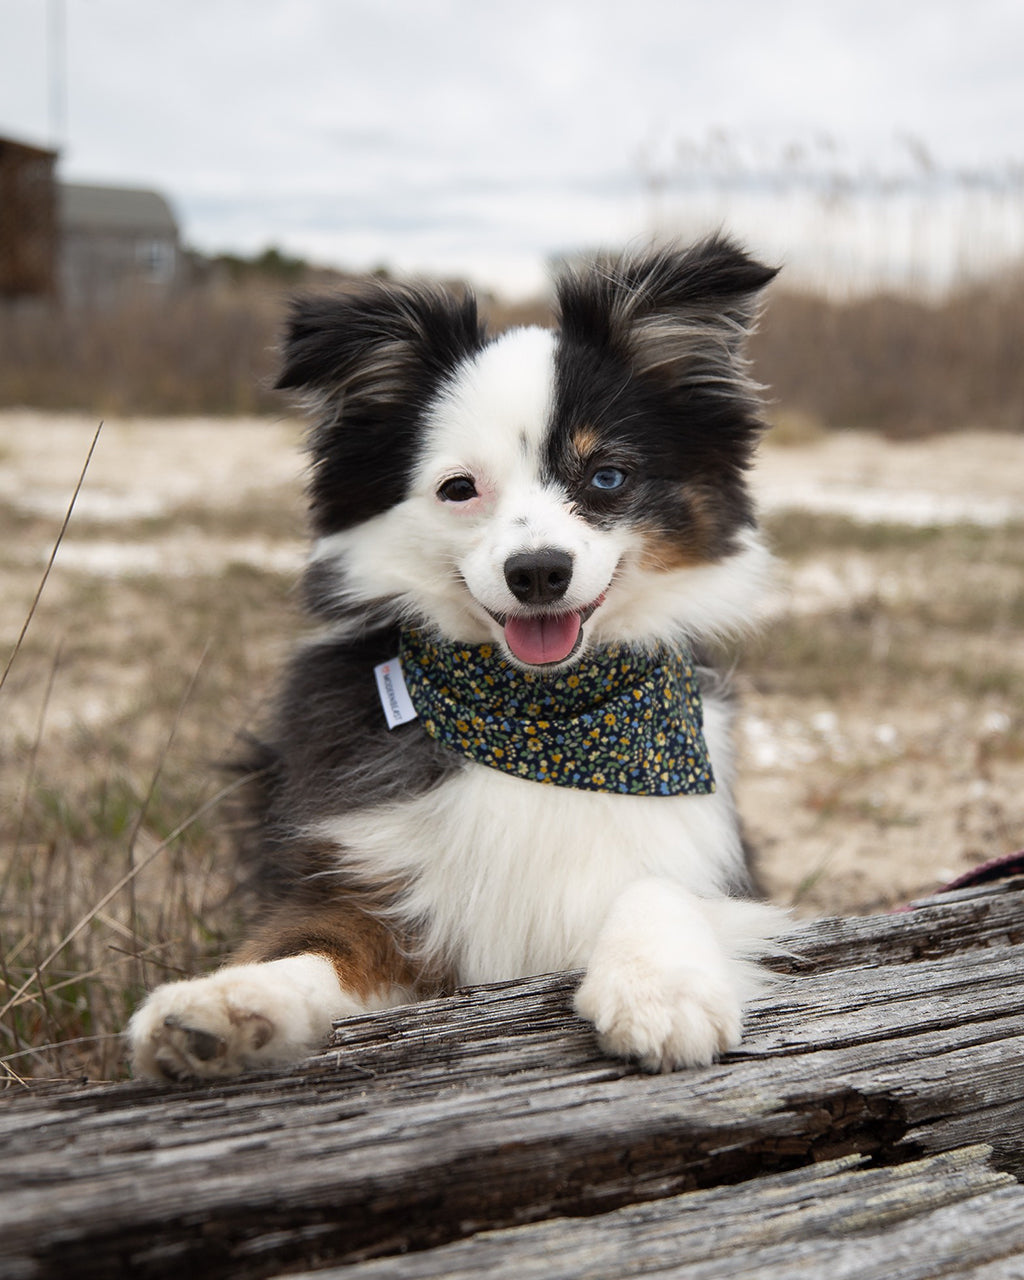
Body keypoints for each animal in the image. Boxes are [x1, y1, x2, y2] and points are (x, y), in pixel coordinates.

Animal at [128, 232, 783, 1080]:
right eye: (459, 489)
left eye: (607, 477)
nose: (538, 572)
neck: (541, 722)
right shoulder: (377, 889)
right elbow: (309, 945)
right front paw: (224, 1004)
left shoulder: (715, 858)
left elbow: (658, 887)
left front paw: (661, 989)